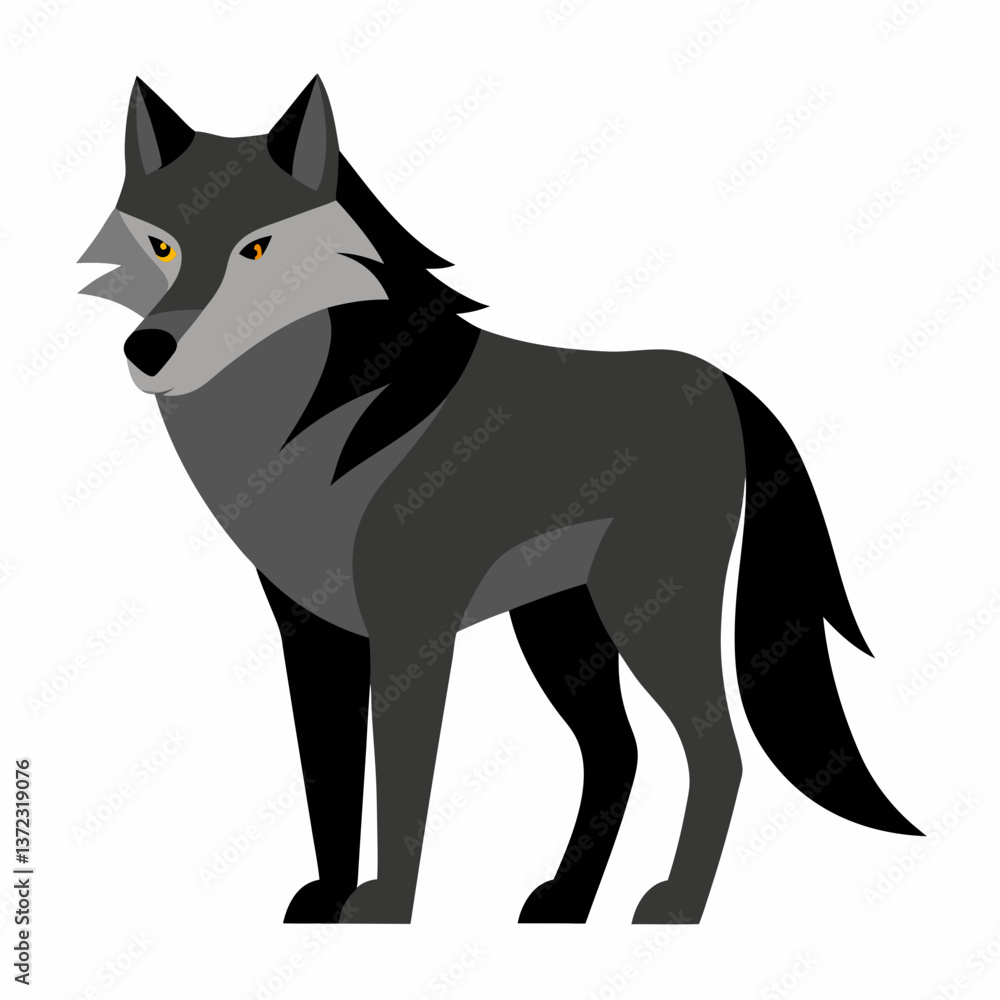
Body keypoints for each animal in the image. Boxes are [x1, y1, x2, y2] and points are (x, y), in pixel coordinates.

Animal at [80, 76, 921, 925]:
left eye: (255, 248)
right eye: (160, 245)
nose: (148, 350)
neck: (323, 422)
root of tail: (722, 382)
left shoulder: (413, 632)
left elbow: (403, 786)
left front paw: (387, 909)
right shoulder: (313, 633)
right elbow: (330, 784)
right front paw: (330, 901)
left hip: (644, 613)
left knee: (717, 754)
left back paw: (677, 903)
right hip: (560, 628)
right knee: (620, 752)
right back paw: (568, 901)